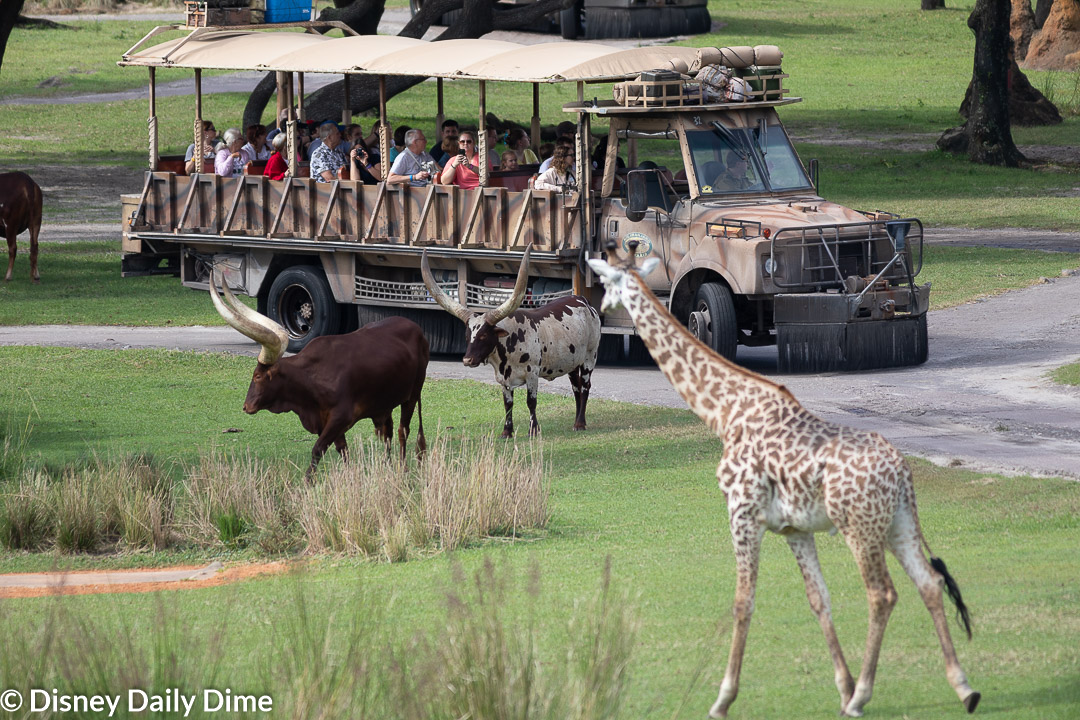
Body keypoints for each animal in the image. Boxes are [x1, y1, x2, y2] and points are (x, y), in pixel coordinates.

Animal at [208, 273, 427, 481]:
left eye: (257, 376)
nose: (246, 407)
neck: (310, 379)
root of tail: (415, 327)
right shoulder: (327, 422)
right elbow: (343, 451)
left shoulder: (339, 418)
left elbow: (317, 449)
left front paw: (308, 482)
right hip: (384, 403)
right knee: (388, 432)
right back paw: (388, 466)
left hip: (413, 394)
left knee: (402, 431)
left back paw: (403, 468)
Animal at [421, 246, 604, 440]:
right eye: (467, 335)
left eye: (484, 336)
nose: (467, 360)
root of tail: (584, 301)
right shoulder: (503, 379)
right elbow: (508, 404)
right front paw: (507, 432)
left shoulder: (532, 373)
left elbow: (531, 402)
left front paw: (533, 430)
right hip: (571, 362)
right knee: (576, 388)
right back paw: (576, 421)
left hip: (589, 358)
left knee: (585, 387)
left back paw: (580, 423)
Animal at [587, 253, 984, 716]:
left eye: (608, 279)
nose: (600, 307)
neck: (724, 412)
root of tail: (902, 471)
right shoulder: (795, 528)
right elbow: (818, 599)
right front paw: (842, 686)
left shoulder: (741, 513)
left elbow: (742, 602)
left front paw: (723, 698)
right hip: (899, 522)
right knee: (929, 583)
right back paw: (964, 688)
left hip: (860, 527)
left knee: (882, 594)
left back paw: (865, 696)